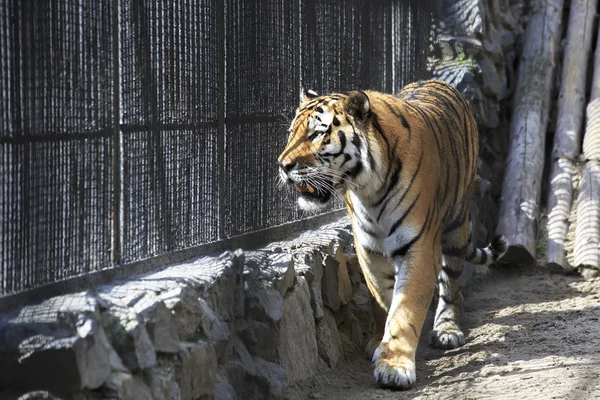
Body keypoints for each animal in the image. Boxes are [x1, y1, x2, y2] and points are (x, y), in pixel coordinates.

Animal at [276, 79, 506, 390]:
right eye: (291, 134)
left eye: (316, 134)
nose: (282, 165)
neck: (368, 189)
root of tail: (438, 81)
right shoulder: (368, 249)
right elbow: (382, 301)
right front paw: (379, 344)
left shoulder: (419, 248)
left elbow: (404, 309)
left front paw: (394, 367)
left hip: (457, 226)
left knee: (451, 285)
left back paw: (447, 329)